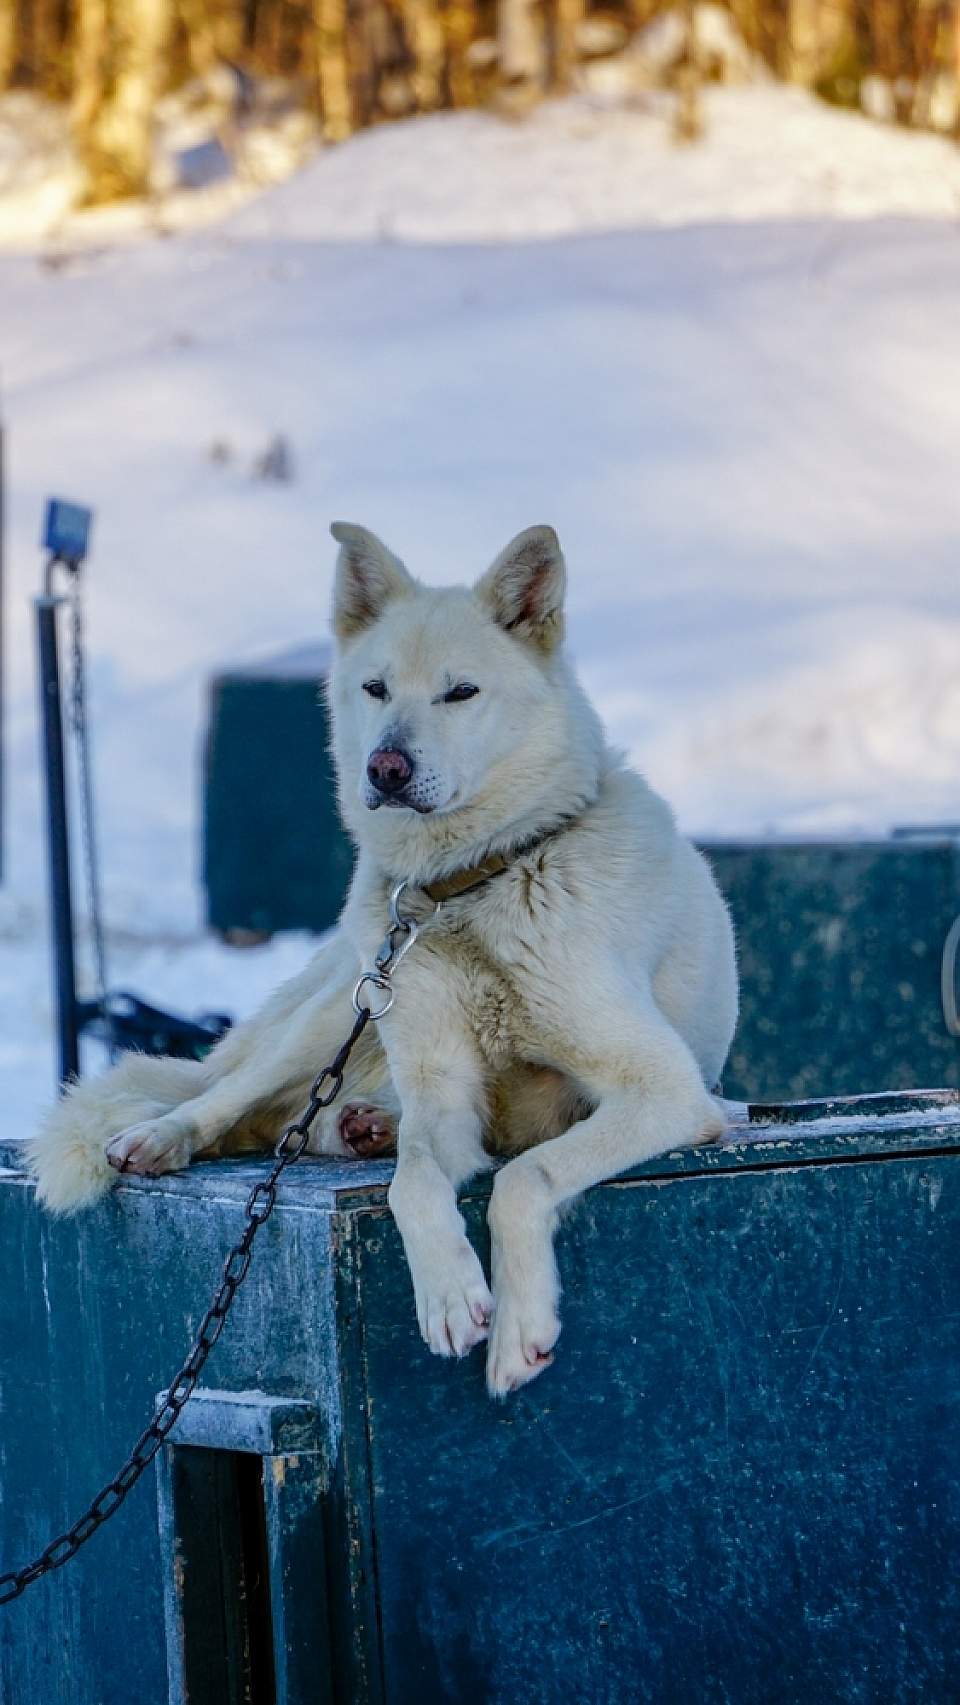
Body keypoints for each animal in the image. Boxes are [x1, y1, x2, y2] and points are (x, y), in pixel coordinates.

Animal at [28, 521, 736, 1398]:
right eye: (374, 689)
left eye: (460, 692)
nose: (386, 768)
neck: (467, 888)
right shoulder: (443, 1090)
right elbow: (415, 1180)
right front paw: (451, 1293)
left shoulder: (666, 1089)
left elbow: (520, 1176)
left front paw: (516, 1328)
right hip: (348, 1005)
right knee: (234, 1094)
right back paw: (174, 1134)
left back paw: (363, 1123)